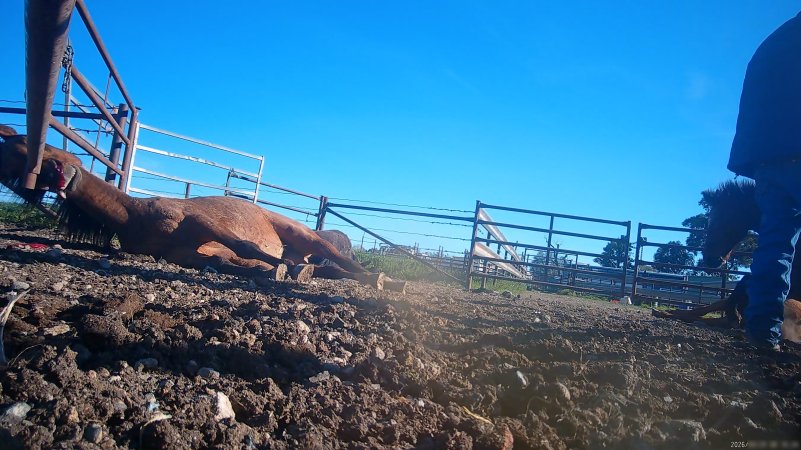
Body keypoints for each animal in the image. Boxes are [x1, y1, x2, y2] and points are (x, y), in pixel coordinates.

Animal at [0, 131, 401, 291]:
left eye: (20, 144)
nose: (9, 176)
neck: (136, 215)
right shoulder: (187, 254)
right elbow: (229, 263)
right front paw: (278, 271)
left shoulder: (201, 222)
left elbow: (245, 248)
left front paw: (279, 269)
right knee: (330, 270)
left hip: (299, 233)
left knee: (339, 259)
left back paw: (380, 279)